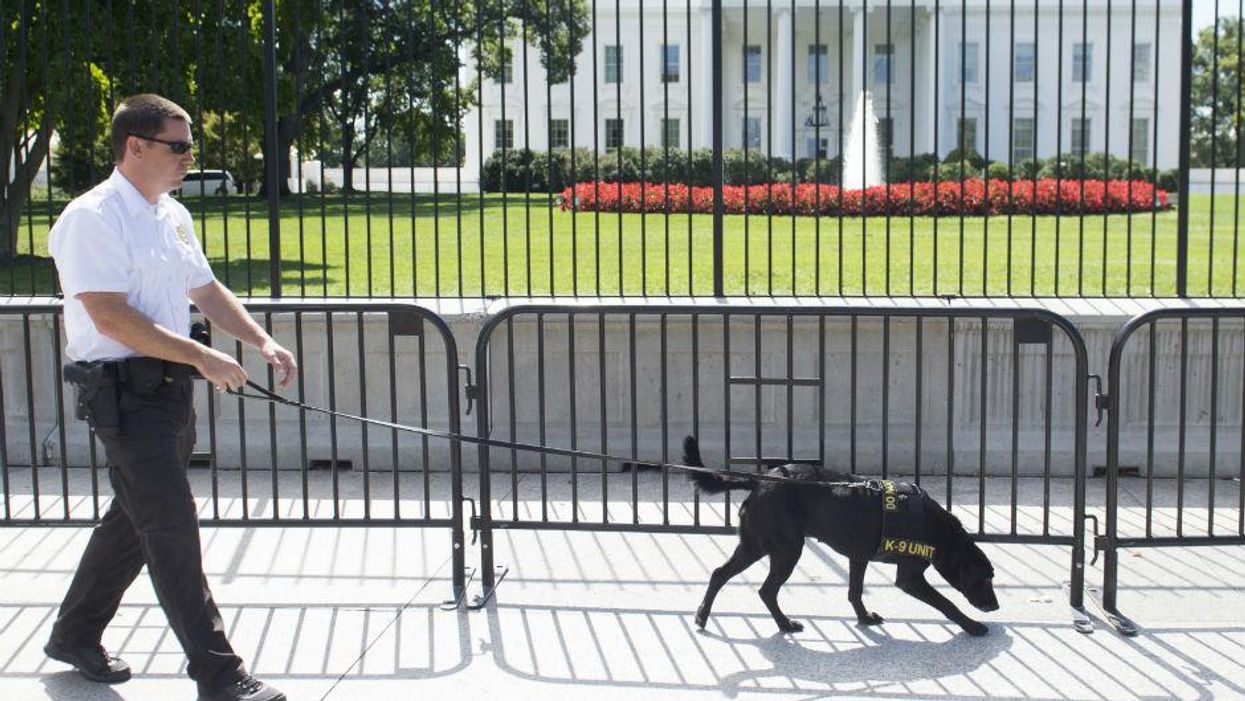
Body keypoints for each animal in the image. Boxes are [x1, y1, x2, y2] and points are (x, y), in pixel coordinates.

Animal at [687, 435, 996, 632]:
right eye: (983, 578)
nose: (995, 606)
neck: (939, 530)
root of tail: (758, 483)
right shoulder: (910, 578)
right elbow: (946, 603)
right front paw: (971, 626)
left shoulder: (859, 558)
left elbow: (855, 591)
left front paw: (864, 618)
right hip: (786, 549)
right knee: (766, 590)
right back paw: (784, 624)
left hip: (755, 544)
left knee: (719, 574)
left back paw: (702, 615)